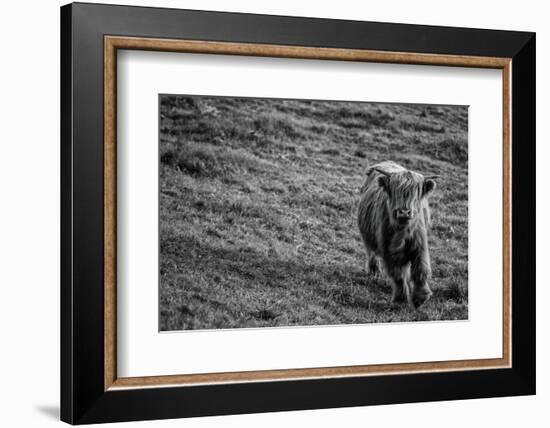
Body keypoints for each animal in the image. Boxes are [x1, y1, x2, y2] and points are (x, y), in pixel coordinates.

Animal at [360, 160, 442, 308]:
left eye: (415, 193)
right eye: (395, 191)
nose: (404, 212)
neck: (403, 232)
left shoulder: (420, 246)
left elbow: (421, 269)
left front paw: (420, 298)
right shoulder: (388, 250)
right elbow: (398, 275)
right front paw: (401, 300)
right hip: (368, 237)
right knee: (371, 253)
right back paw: (374, 273)